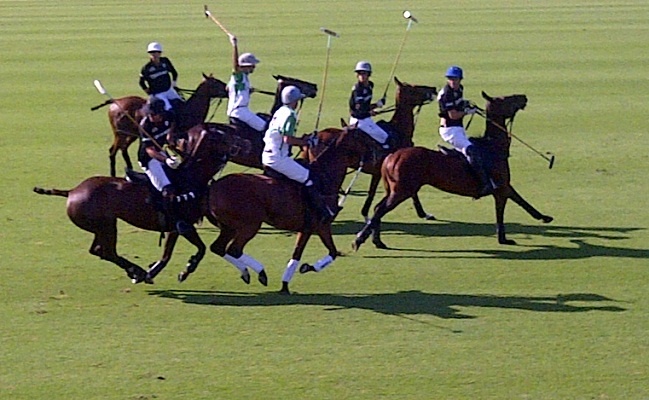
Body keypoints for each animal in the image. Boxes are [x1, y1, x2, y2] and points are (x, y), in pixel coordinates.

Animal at [33, 126, 234, 282]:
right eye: (219, 136)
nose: (240, 143)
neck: (189, 177)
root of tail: (72, 191)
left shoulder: (175, 227)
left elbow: (167, 254)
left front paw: (157, 271)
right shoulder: (184, 225)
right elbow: (200, 248)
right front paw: (186, 268)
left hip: (101, 227)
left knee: (98, 250)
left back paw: (136, 272)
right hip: (106, 226)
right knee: (107, 252)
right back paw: (136, 271)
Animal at [90, 74, 228, 177]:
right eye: (216, 82)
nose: (227, 89)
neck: (189, 110)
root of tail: (115, 102)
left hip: (132, 134)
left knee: (123, 149)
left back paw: (130, 169)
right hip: (120, 133)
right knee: (112, 151)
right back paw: (113, 174)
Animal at [185, 127, 372, 294]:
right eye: (364, 138)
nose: (375, 156)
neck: (324, 178)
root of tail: (212, 187)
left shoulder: (311, 228)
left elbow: (318, 253)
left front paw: (291, 280)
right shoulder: (318, 225)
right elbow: (324, 253)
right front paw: (300, 272)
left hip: (229, 227)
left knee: (218, 248)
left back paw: (246, 273)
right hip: (249, 225)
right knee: (234, 250)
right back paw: (260, 272)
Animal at [352, 92, 556, 252]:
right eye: (505, 99)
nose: (524, 97)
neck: (494, 147)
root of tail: (391, 157)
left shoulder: (503, 187)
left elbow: (519, 203)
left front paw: (543, 218)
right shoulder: (501, 188)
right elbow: (508, 209)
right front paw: (505, 238)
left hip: (394, 189)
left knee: (378, 208)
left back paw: (377, 241)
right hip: (401, 191)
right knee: (380, 210)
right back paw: (359, 241)